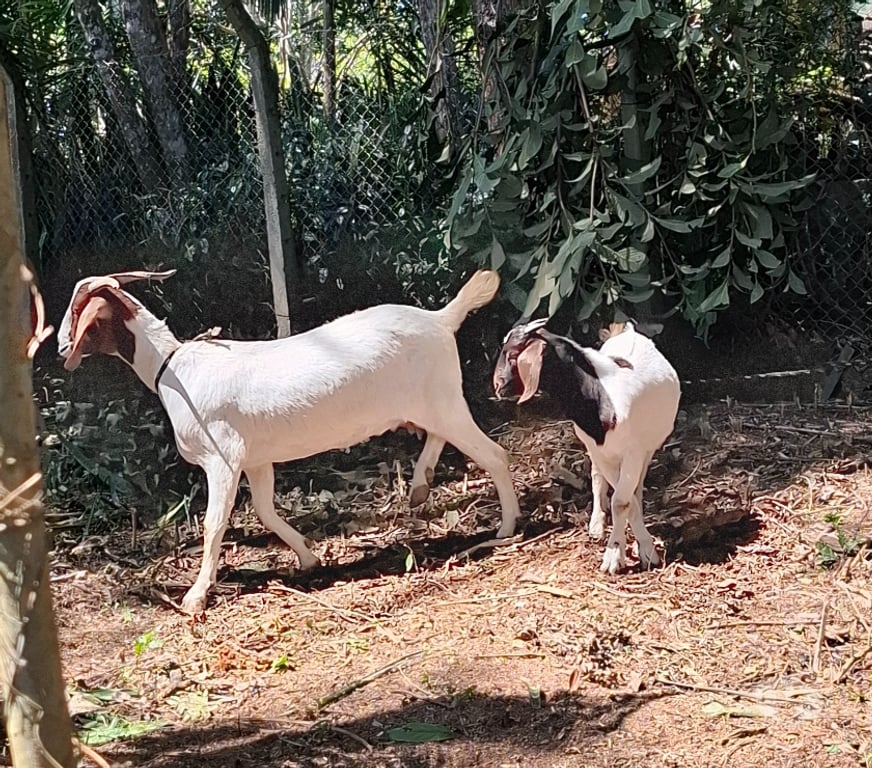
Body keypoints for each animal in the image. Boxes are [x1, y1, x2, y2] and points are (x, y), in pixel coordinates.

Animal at [58, 270, 520, 613]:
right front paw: (308, 559)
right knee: (443, 436)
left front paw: (195, 596)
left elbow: (213, 523)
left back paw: (506, 526)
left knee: (494, 453)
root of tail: (441, 319)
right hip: (430, 402)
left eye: (78, 310)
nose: (61, 345)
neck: (174, 368)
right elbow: (265, 511)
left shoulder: (222, 458)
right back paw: (421, 485)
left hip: (441, 400)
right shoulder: (255, 460)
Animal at [493, 320, 680, 574]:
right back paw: (596, 526)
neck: (601, 398)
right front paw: (621, 551)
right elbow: (620, 498)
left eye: (512, 355)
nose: (498, 385)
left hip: (648, 447)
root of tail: (628, 332)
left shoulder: (633, 452)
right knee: (597, 476)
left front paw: (632, 554)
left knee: (636, 485)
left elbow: (623, 501)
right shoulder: (598, 450)